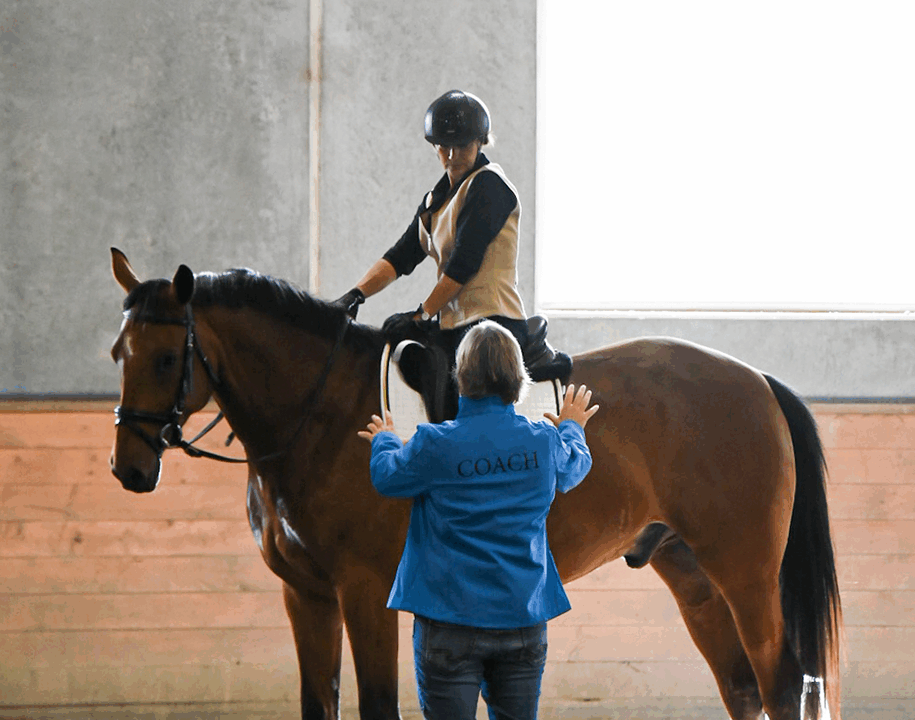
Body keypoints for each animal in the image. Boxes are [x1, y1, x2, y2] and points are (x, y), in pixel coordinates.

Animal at [108, 248, 841, 720]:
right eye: (119, 353)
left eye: (168, 358)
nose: (129, 470)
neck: (318, 413)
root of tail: (755, 380)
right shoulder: (306, 596)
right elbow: (319, 704)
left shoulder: (365, 592)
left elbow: (377, 706)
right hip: (690, 573)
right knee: (743, 690)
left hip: (744, 574)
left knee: (780, 687)